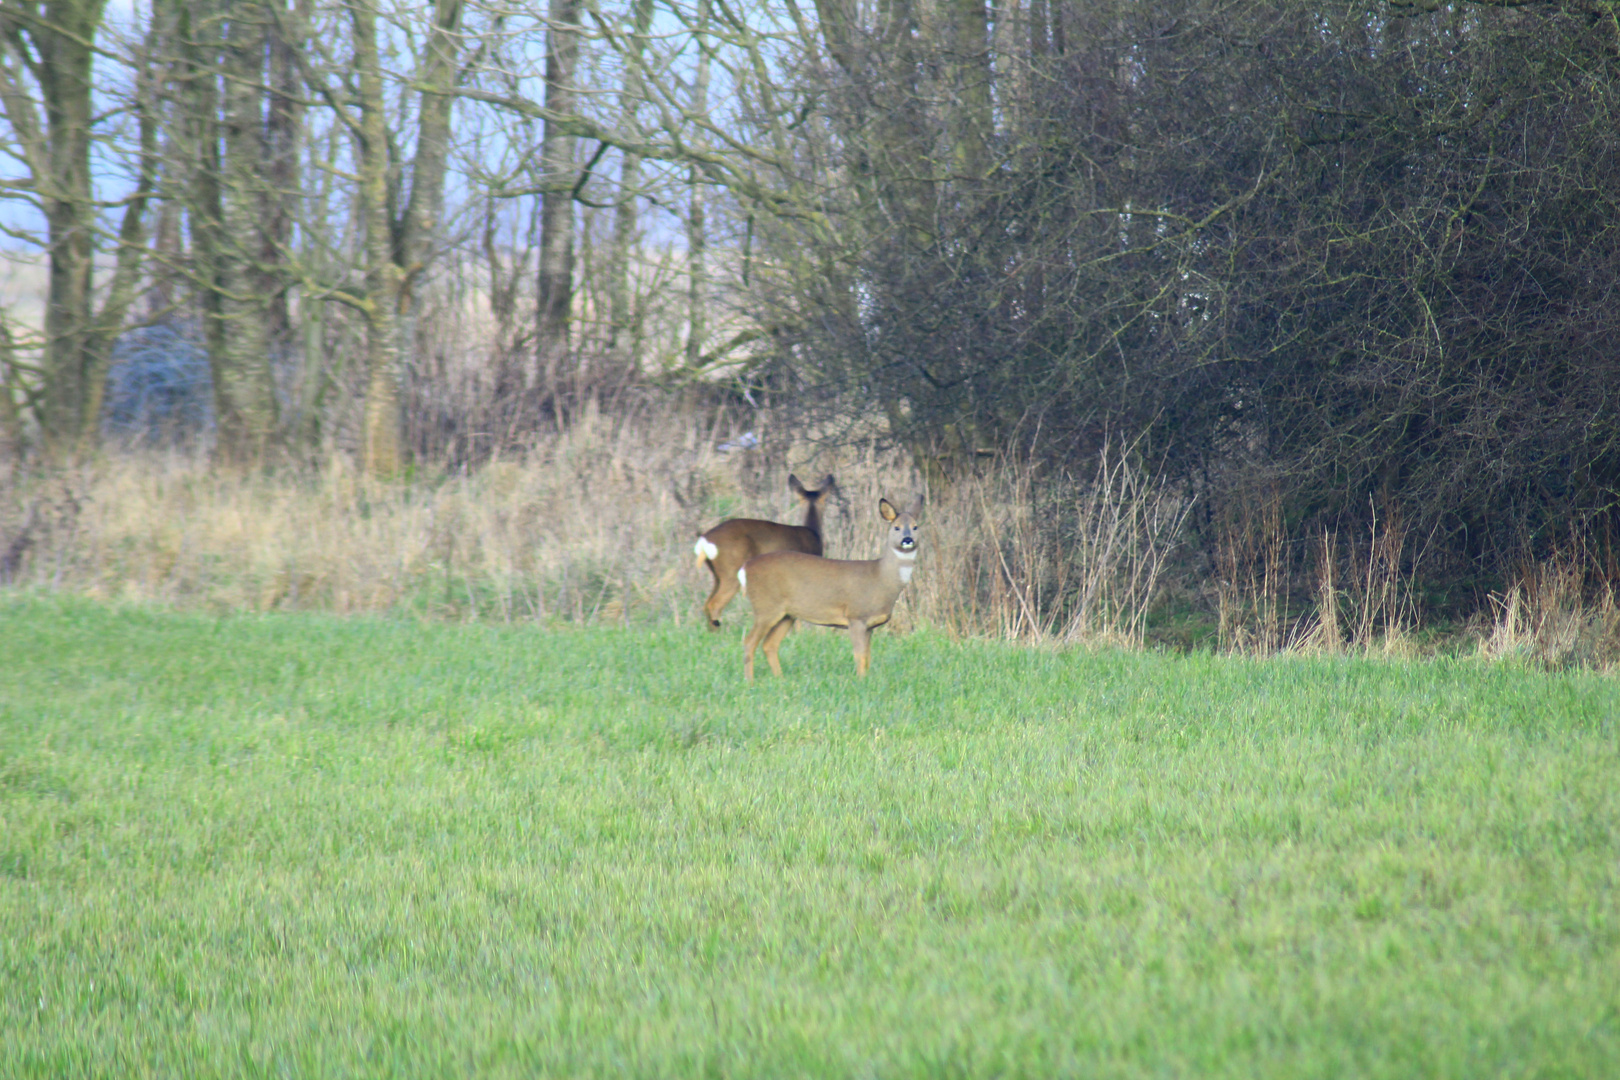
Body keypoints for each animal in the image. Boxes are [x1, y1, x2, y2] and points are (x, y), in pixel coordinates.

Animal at [693, 476, 835, 628]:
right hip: (731, 572)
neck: (813, 533)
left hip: (717, 575)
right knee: (715, 604)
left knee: (706, 604)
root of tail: (705, 541)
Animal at [738, 495, 920, 680]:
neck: (881, 578)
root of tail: (745, 569)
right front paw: (861, 680)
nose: (907, 539)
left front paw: (867, 679)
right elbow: (860, 655)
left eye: (915, 526)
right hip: (766, 606)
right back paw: (749, 681)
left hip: (787, 614)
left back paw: (779, 679)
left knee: (769, 644)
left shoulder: (869, 625)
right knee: (749, 641)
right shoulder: (856, 616)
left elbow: (868, 656)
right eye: (896, 527)